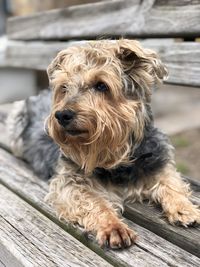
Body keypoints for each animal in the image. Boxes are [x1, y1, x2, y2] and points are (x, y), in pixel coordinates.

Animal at [6, 39, 200, 249]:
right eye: (64, 88)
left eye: (101, 85)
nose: (62, 115)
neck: (116, 154)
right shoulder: (70, 181)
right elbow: (92, 201)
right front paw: (114, 226)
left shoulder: (156, 160)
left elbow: (171, 182)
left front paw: (185, 209)